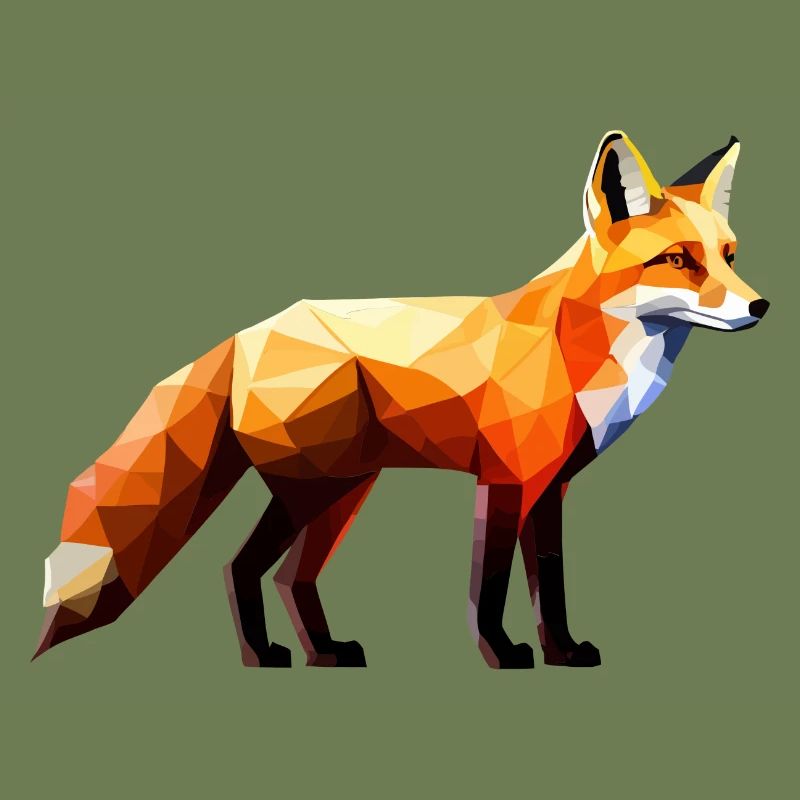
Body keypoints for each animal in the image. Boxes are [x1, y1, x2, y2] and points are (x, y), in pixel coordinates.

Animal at [33, 131, 768, 669]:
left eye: (729, 255)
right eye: (678, 260)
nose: (760, 306)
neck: (577, 349)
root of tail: (247, 333)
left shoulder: (551, 489)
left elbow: (551, 583)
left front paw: (562, 653)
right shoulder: (507, 480)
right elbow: (491, 583)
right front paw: (503, 654)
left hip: (347, 490)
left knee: (290, 578)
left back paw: (325, 653)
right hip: (315, 490)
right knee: (242, 566)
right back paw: (266, 656)